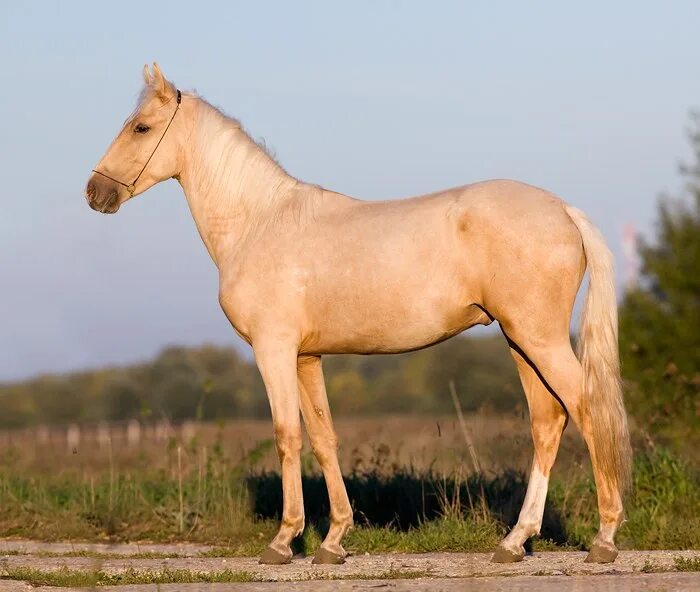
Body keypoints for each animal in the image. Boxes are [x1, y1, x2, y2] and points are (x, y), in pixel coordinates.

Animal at [87, 62, 636, 568]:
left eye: (141, 127)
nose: (95, 193)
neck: (260, 222)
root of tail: (563, 210)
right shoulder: (306, 357)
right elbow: (323, 438)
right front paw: (332, 542)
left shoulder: (273, 349)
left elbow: (287, 436)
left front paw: (283, 542)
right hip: (521, 341)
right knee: (547, 422)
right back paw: (514, 542)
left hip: (539, 339)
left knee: (587, 410)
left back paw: (604, 539)